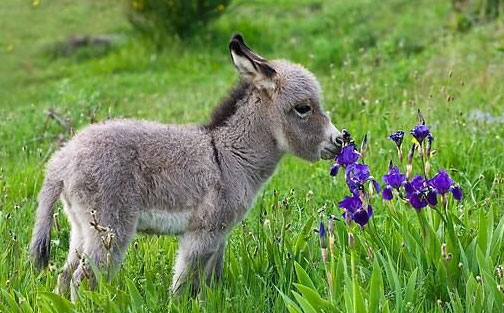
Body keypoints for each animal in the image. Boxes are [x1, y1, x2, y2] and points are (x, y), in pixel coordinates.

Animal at [30, 34, 342, 300]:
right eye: (303, 108)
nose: (341, 140)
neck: (229, 156)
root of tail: (62, 159)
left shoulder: (219, 235)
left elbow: (211, 281)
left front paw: (210, 301)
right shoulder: (202, 233)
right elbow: (184, 283)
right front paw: (178, 304)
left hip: (80, 227)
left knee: (64, 275)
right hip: (109, 227)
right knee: (81, 280)